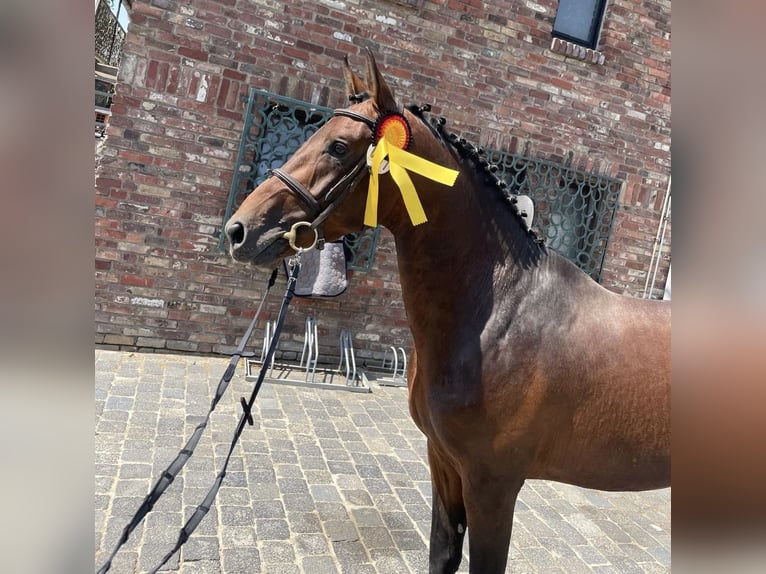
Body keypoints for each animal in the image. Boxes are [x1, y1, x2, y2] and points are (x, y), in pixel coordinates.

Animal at [225, 50, 671, 573]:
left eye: (337, 146)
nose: (240, 230)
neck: (500, 314)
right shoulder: (443, 463)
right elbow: (442, 552)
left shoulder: (492, 484)